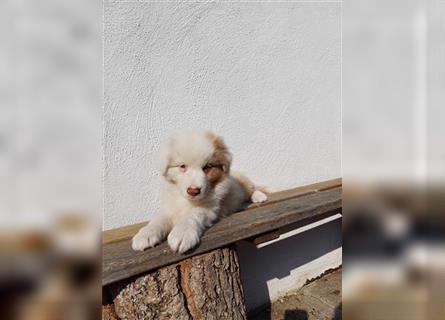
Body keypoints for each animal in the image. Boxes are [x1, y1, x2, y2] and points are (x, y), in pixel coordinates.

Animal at [130, 131, 266, 254]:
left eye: (207, 167)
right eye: (182, 166)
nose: (193, 191)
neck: (186, 200)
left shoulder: (209, 208)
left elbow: (192, 215)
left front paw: (182, 234)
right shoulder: (170, 207)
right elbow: (158, 219)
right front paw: (145, 234)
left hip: (244, 182)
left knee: (252, 188)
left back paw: (259, 196)